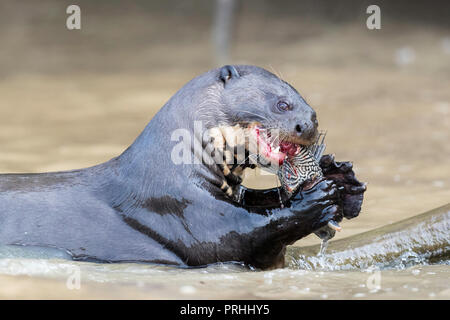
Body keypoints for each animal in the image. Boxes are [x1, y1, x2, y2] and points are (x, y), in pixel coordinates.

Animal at [0, 65, 366, 270]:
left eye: (312, 111)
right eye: (282, 104)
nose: (309, 125)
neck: (168, 168)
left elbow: (259, 200)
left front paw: (343, 179)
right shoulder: (181, 206)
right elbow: (241, 235)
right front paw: (316, 198)